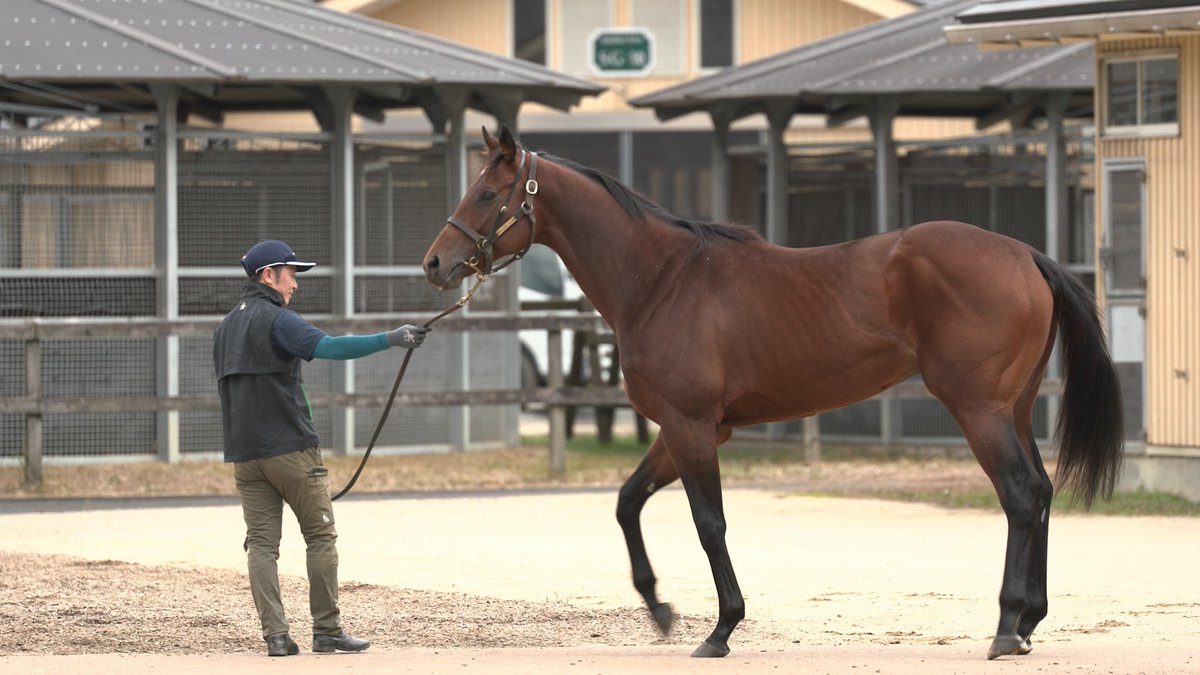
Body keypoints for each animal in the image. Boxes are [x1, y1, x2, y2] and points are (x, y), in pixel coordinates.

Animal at [422, 126, 1124, 660]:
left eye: (487, 193)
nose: (435, 264)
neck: (662, 280)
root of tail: (1024, 254)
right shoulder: (687, 429)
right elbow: (627, 503)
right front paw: (660, 608)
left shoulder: (692, 428)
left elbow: (709, 524)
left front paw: (720, 629)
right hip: (1015, 410)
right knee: (1042, 492)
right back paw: (1029, 622)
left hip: (979, 411)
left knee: (1020, 496)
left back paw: (1007, 628)